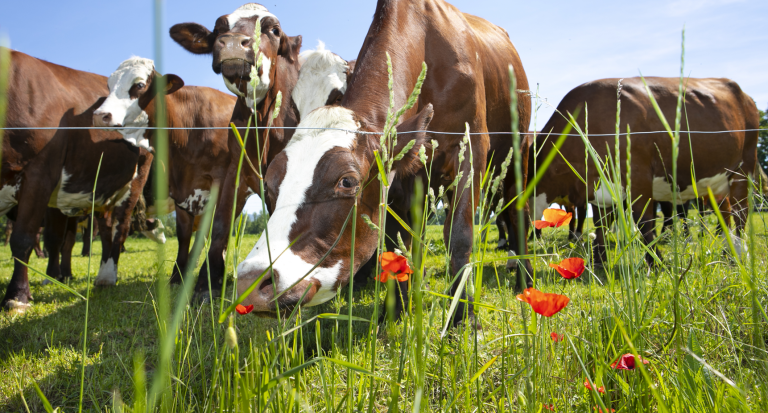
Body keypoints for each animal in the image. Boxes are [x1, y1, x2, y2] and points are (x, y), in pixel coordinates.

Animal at [0, 50, 156, 310]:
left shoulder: (39, 173)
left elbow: (24, 238)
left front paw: (17, 296)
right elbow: (55, 240)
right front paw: (54, 277)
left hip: (135, 179)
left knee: (120, 226)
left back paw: (108, 276)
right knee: (106, 228)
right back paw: (102, 274)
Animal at [91, 56, 234, 282]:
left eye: (139, 85)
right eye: (109, 84)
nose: (100, 115)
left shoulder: (220, 183)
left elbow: (216, 226)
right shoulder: (179, 188)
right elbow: (184, 234)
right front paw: (178, 275)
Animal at [234, 0, 532, 326]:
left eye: (347, 181)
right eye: (271, 186)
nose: (251, 282)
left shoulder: (471, 146)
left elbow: (460, 235)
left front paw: (463, 318)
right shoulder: (397, 177)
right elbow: (396, 244)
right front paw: (396, 315)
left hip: (517, 154)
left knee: (519, 213)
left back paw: (525, 281)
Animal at [528, 76, 756, 264]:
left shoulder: (638, 177)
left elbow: (644, 222)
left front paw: (656, 262)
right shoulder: (599, 188)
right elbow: (601, 224)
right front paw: (599, 260)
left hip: (744, 168)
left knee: (740, 211)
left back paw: (737, 253)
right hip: (715, 183)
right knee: (725, 211)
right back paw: (728, 252)